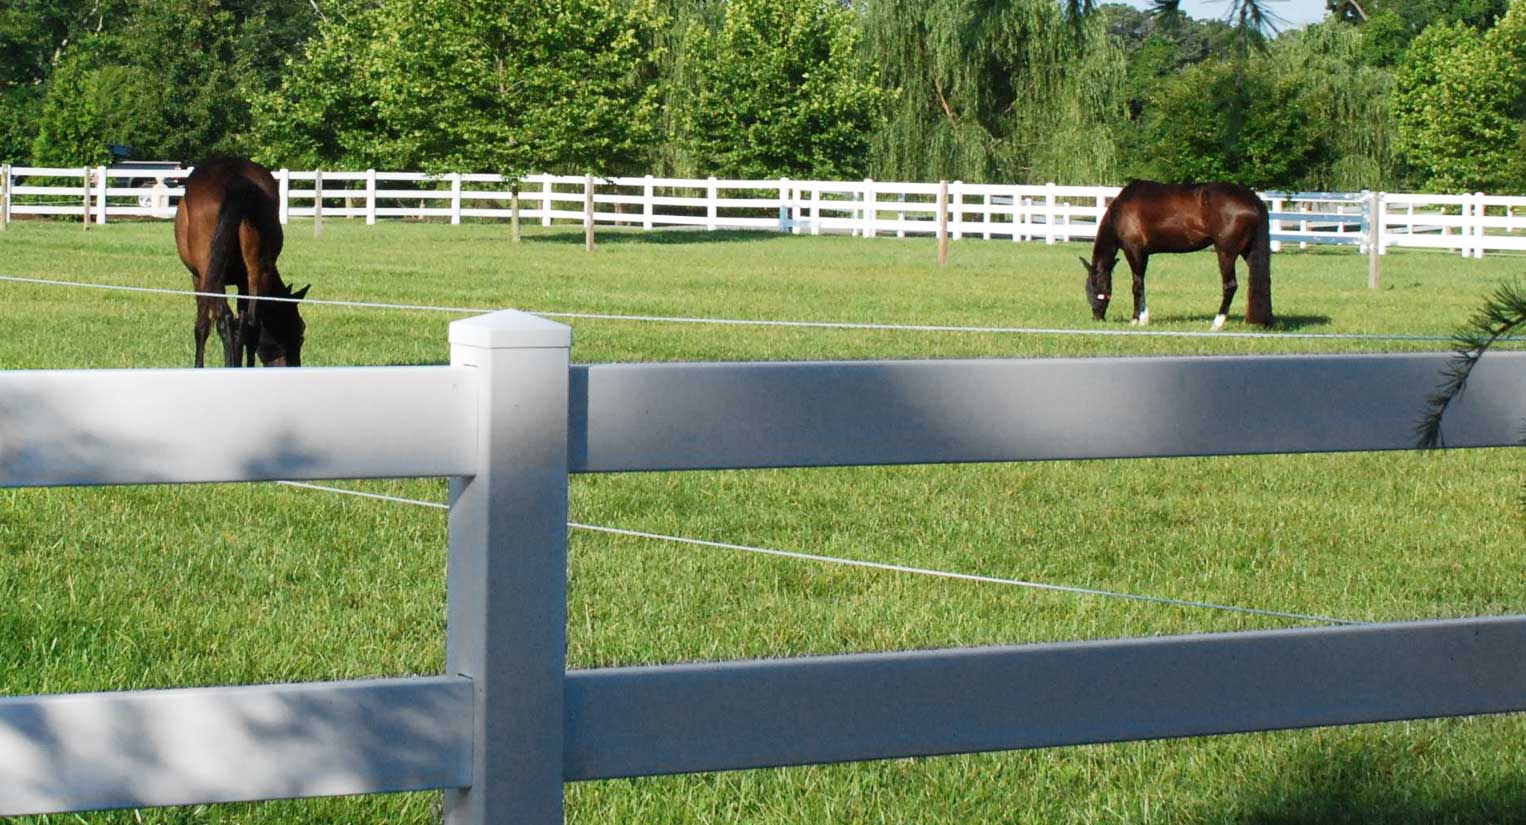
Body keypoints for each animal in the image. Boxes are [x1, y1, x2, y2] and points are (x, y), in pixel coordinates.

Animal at [174, 156, 308, 364]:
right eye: (300, 330)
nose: (293, 365)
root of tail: (236, 179)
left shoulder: (198, 278)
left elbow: (204, 325)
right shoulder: (242, 281)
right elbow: (242, 326)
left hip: (212, 274)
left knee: (224, 320)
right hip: (257, 272)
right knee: (251, 322)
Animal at [1086, 181, 1275, 329]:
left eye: (1092, 285)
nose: (1096, 316)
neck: (1121, 208)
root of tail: (1253, 199)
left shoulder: (1134, 250)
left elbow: (1137, 285)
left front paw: (1138, 320)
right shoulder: (1144, 254)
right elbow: (1140, 283)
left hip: (1226, 253)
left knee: (1230, 286)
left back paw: (1217, 323)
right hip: (1248, 252)